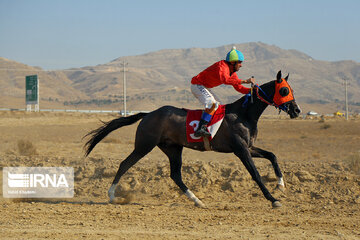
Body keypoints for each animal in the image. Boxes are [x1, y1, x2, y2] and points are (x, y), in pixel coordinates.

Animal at [83, 71, 300, 208]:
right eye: (284, 90)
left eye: (290, 89)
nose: (297, 110)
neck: (243, 114)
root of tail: (148, 114)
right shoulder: (240, 149)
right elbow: (255, 174)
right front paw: (273, 199)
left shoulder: (249, 147)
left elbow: (272, 156)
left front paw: (281, 185)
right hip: (144, 145)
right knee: (124, 164)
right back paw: (112, 195)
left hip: (173, 148)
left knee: (175, 175)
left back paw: (197, 201)